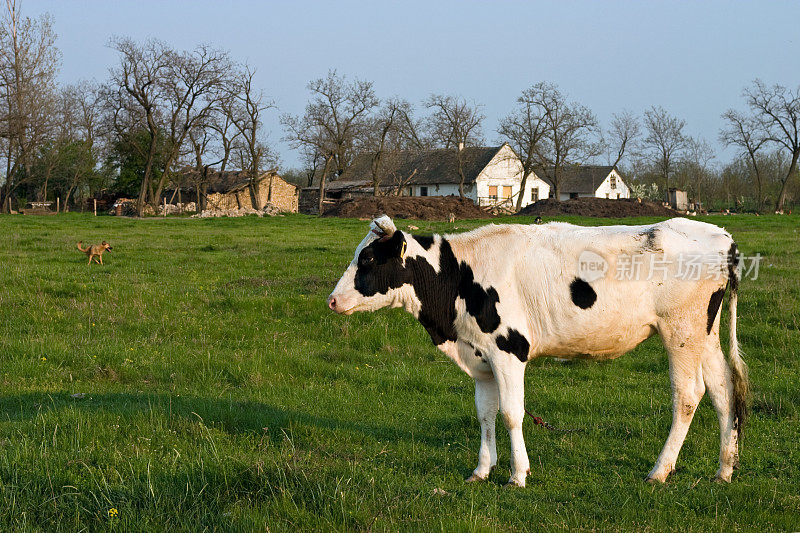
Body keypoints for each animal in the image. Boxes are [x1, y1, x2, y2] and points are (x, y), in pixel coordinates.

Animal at [326, 215, 752, 486]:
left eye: (367, 258)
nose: (331, 300)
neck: (460, 278)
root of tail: (720, 237)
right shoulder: (481, 357)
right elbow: (485, 414)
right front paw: (481, 471)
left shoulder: (508, 350)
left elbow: (511, 414)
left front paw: (517, 475)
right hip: (705, 333)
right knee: (722, 390)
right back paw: (724, 470)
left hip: (681, 331)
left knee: (688, 396)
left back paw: (659, 471)